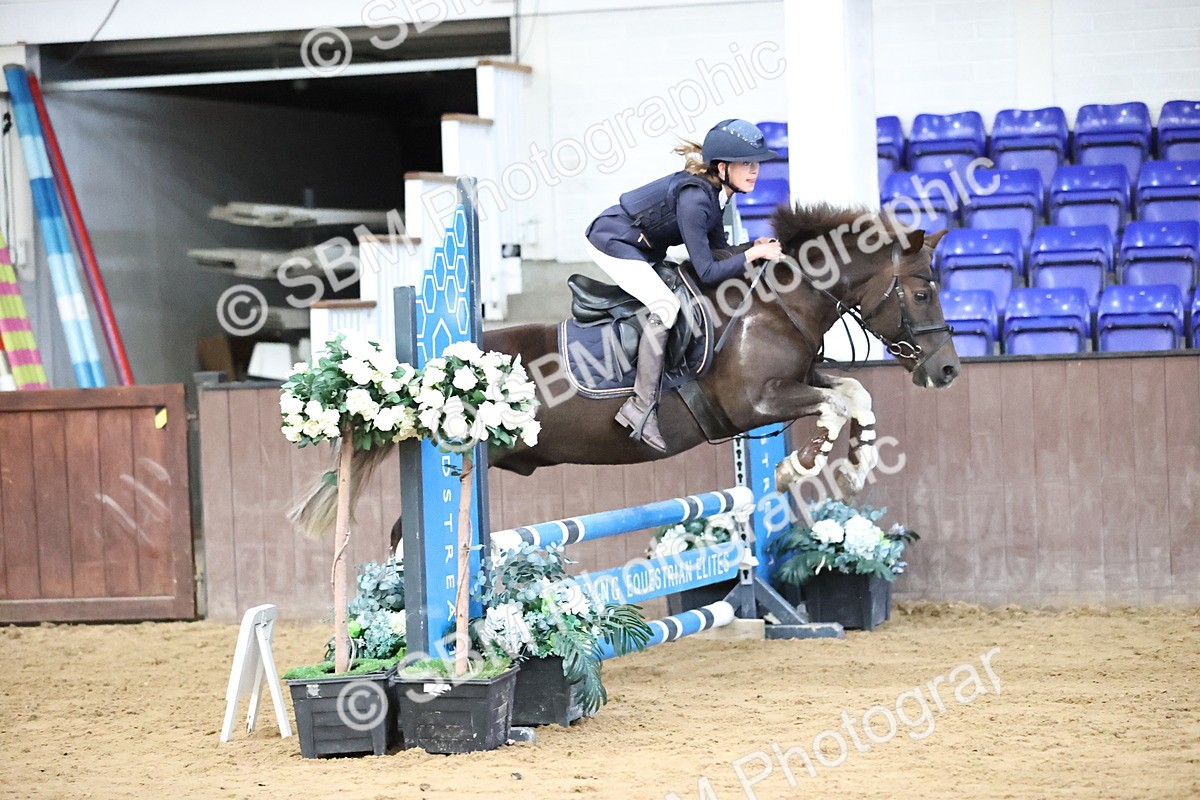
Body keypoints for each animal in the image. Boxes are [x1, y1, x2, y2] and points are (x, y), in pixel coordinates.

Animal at [294, 203, 960, 537]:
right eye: (923, 291)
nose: (949, 369)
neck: (774, 306)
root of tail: (430, 374)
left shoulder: (796, 380)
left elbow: (853, 394)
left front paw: (855, 466)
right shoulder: (755, 402)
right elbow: (834, 403)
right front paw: (800, 466)